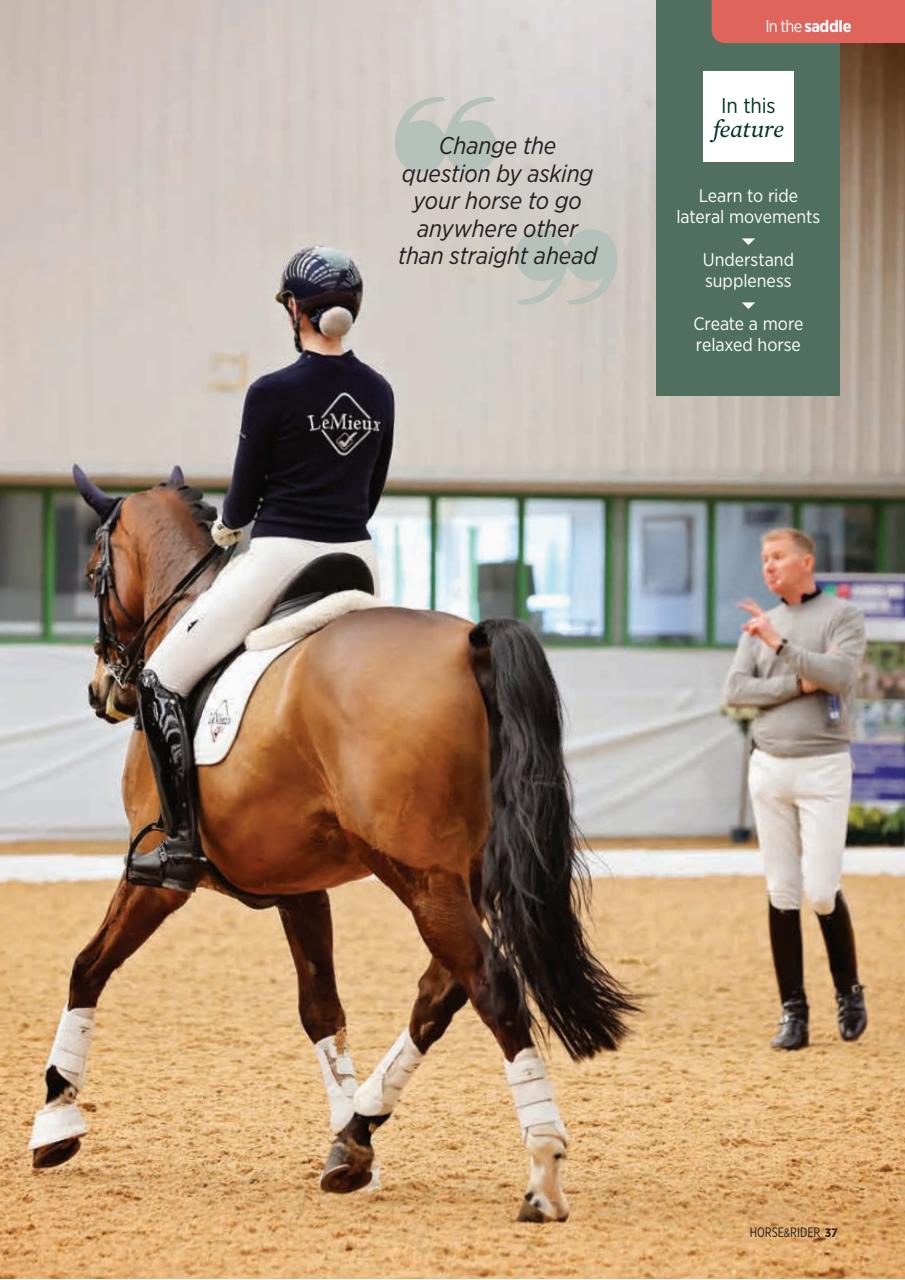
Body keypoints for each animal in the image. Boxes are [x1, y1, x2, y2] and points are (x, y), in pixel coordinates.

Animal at [28, 466, 635, 1223]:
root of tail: (469, 642)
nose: (99, 690)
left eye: (92, 573)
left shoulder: (157, 880)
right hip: (456, 873)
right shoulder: (299, 886)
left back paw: (544, 1174)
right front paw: (348, 1141)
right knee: (442, 990)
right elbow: (322, 1007)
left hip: (417, 873)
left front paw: (55, 1120)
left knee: (490, 985)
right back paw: (362, 1128)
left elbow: (87, 967)